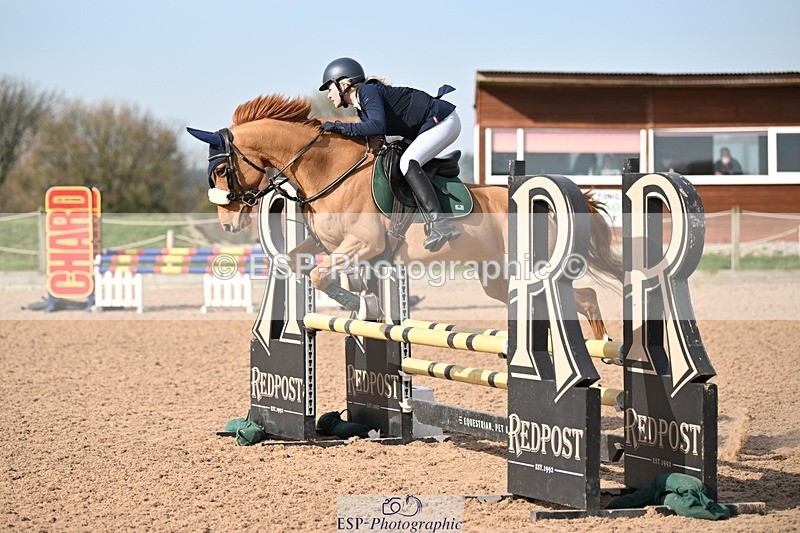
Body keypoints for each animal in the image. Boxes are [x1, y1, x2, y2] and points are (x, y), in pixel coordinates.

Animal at [188, 94, 623, 339]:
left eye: (221, 170)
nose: (228, 224)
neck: (329, 171)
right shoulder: (329, 243)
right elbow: (298, 264)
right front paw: (364, 301)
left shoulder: (364, 244)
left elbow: (321, 275)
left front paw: (362, 303)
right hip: (498, 278)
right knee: (581, 299)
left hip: (526, 268)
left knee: (583, 297)